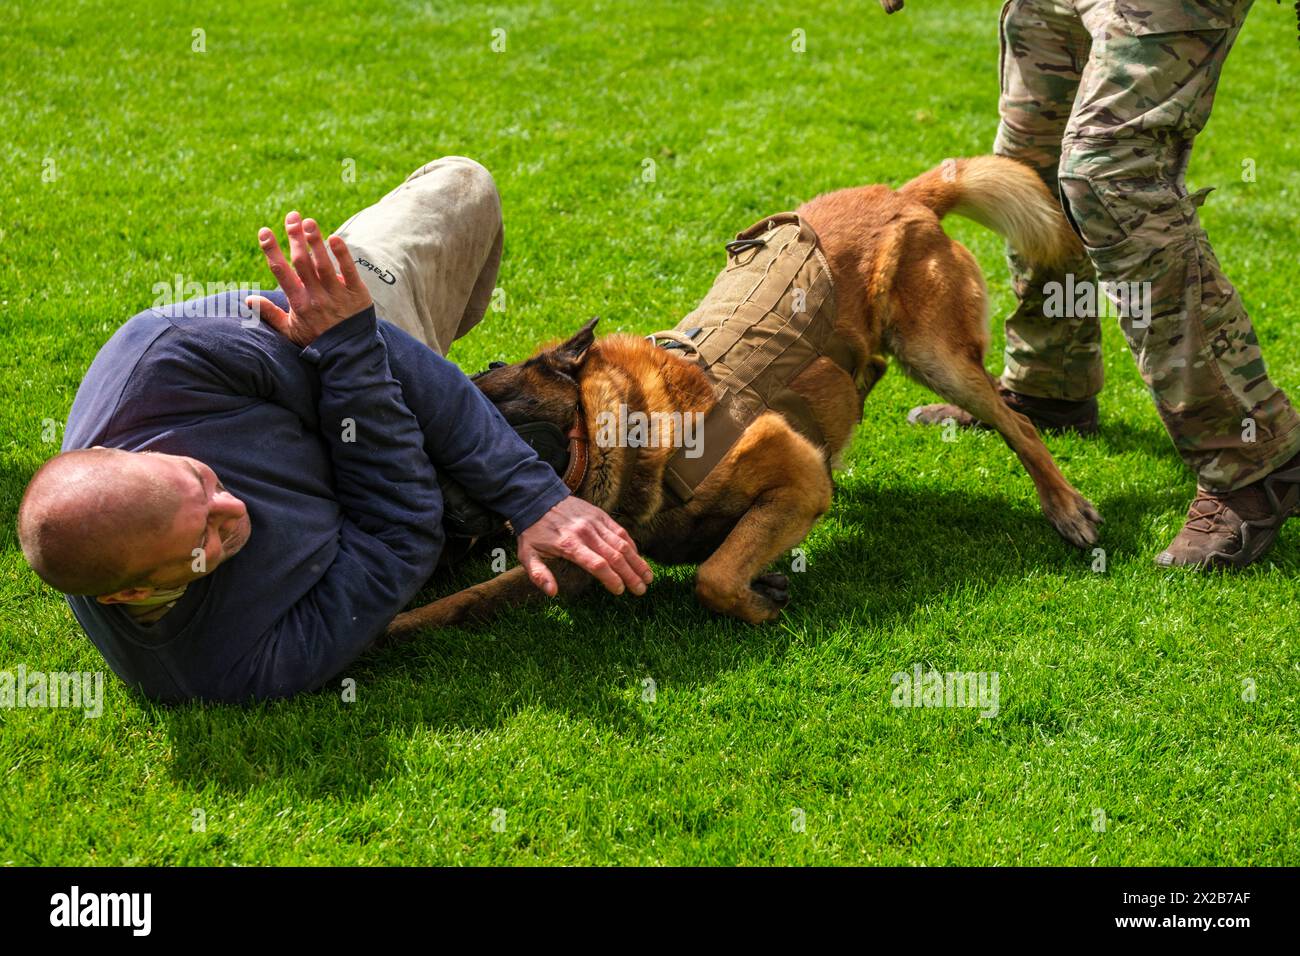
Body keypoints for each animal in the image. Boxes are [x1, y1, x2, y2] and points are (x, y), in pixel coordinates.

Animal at [382, 155, 1097, 634]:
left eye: (485, 421)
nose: (431, 503)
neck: (633, 428)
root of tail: (902, 193)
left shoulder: (793, 480)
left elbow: (715, 576)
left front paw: (759, 599)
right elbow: (460, 602)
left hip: (935, 354)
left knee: (1019, 425)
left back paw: (1066, 507)